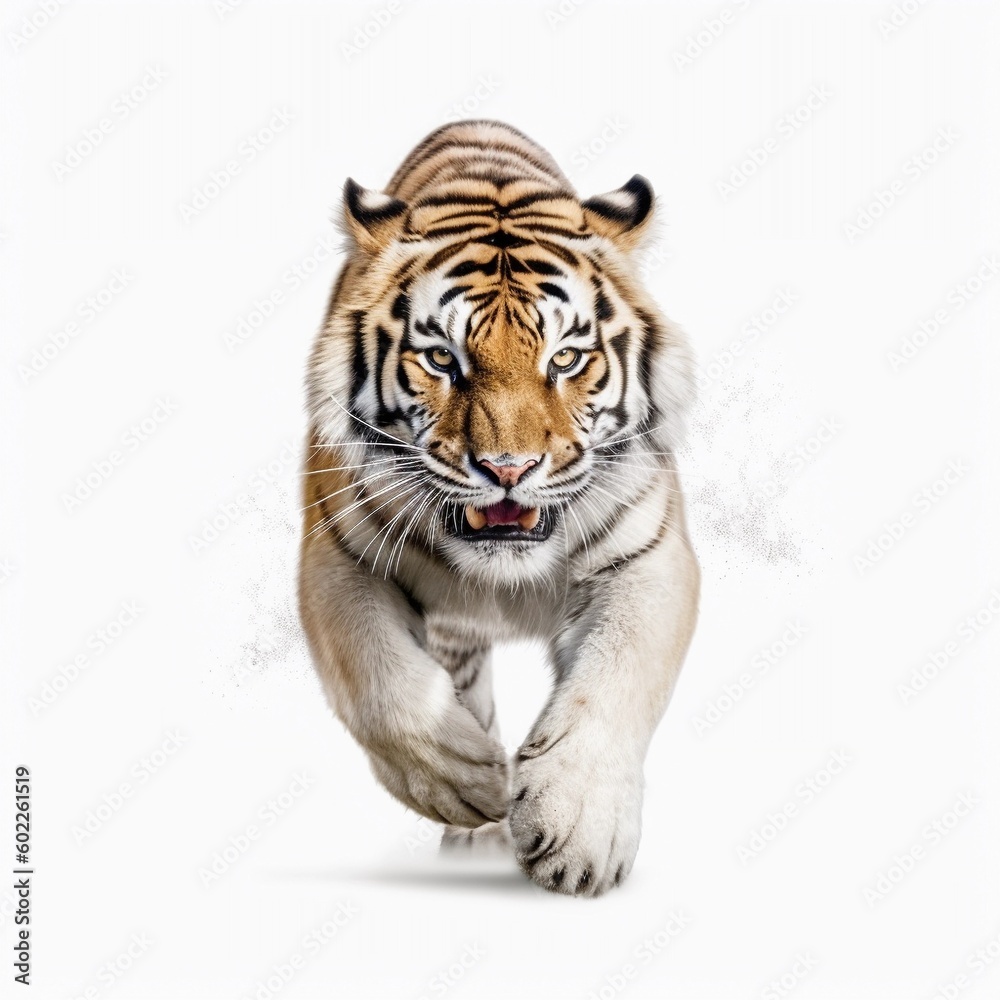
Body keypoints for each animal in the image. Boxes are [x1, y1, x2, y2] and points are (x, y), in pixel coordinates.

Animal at [298, 120, 699, 897]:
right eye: (442, 359)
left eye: (566, 359)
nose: (508, 468)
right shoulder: (334, 557)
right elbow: (376, 677)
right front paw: (472, 781)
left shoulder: (649, 556)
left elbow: (617, 675)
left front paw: (578, 829)